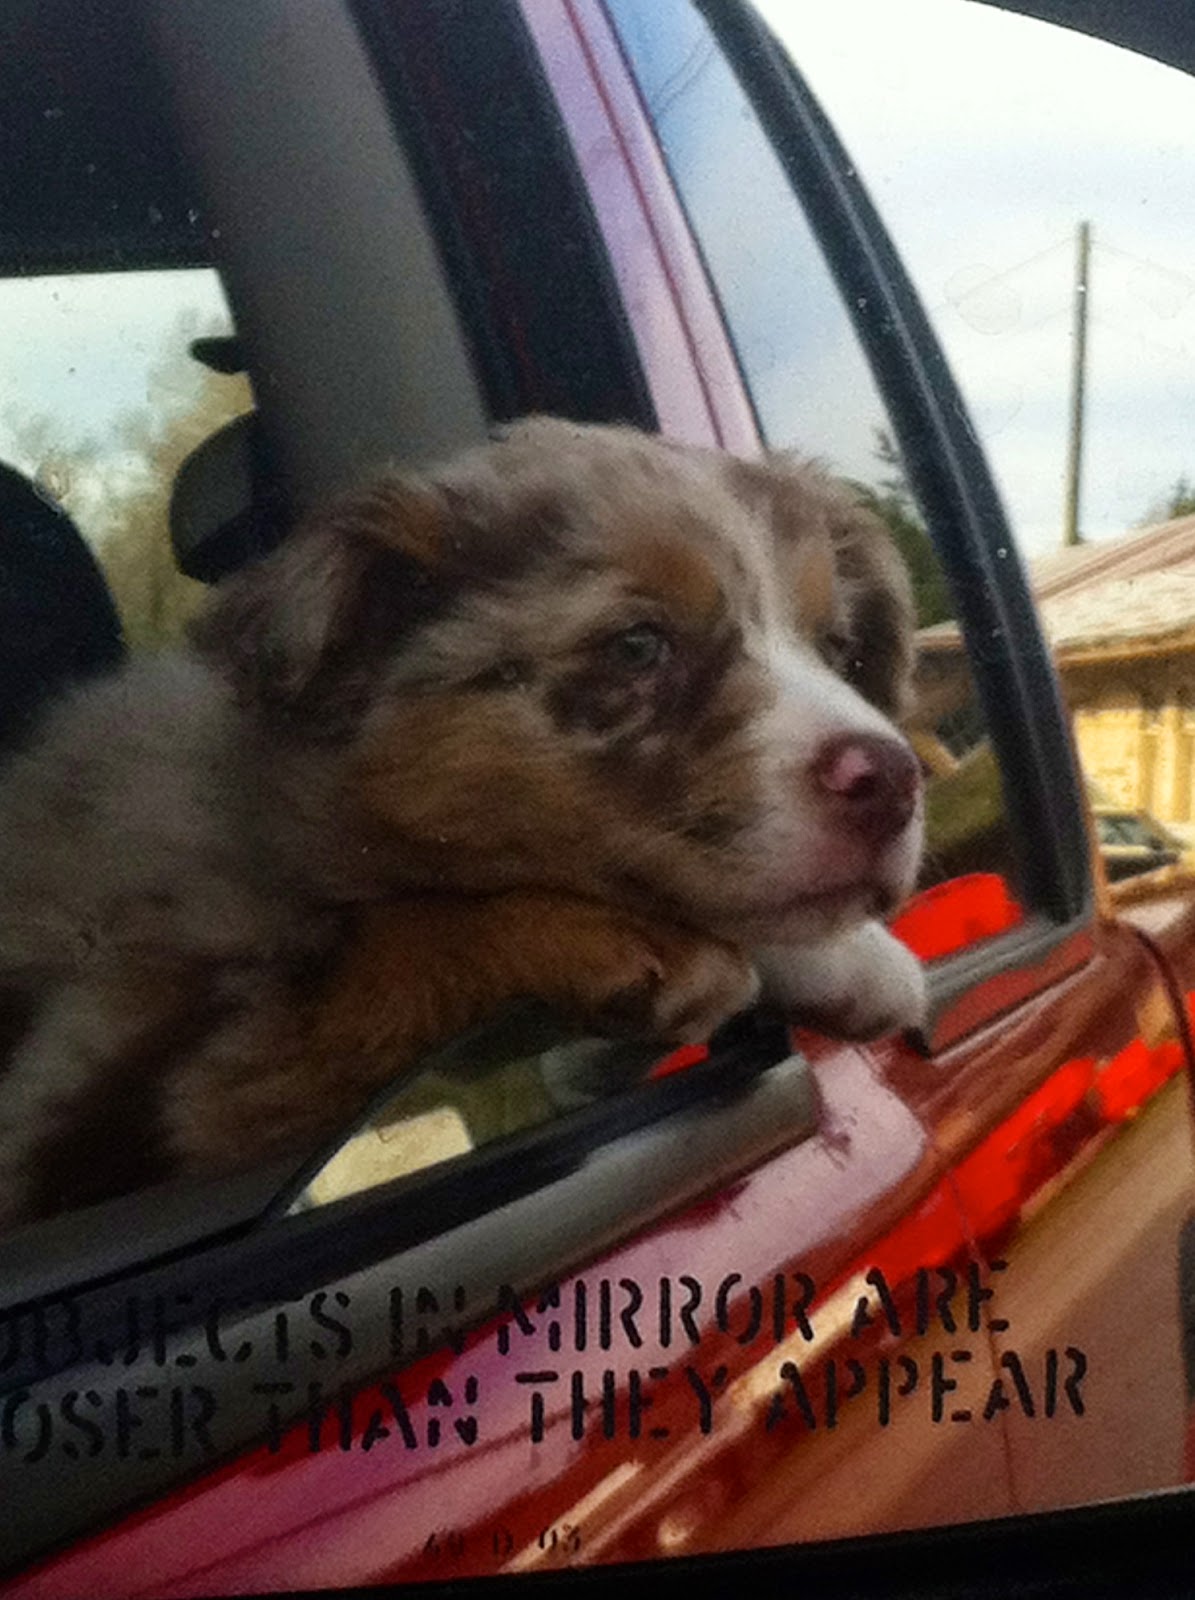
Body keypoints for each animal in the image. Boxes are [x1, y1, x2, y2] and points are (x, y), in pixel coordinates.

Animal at [0, 417, 926, 1226]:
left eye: (837, 649)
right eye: (637, 645)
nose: (894, 780)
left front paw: (853, 961)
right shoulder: (144, 1092)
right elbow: (389, 954)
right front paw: (607, 939)